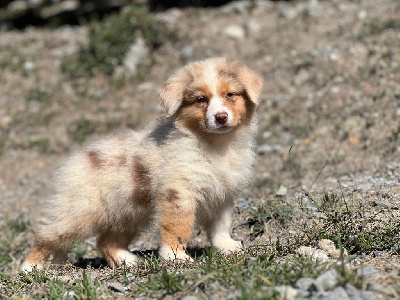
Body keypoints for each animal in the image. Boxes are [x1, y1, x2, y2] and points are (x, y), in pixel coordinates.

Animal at [23, 57, 264, 270]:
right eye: (201, 100)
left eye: (230, 94)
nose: (221, 117)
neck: (215, 145)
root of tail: (75, 159)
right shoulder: (178, 193)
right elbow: (178, 227)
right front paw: (176, 257)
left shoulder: (222, 194)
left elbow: (220, 225)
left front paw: (228, 247)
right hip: (76, 212)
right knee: (46, 237)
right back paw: (30, 268)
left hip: (126, 214)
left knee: (105, 242)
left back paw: (127, 260)